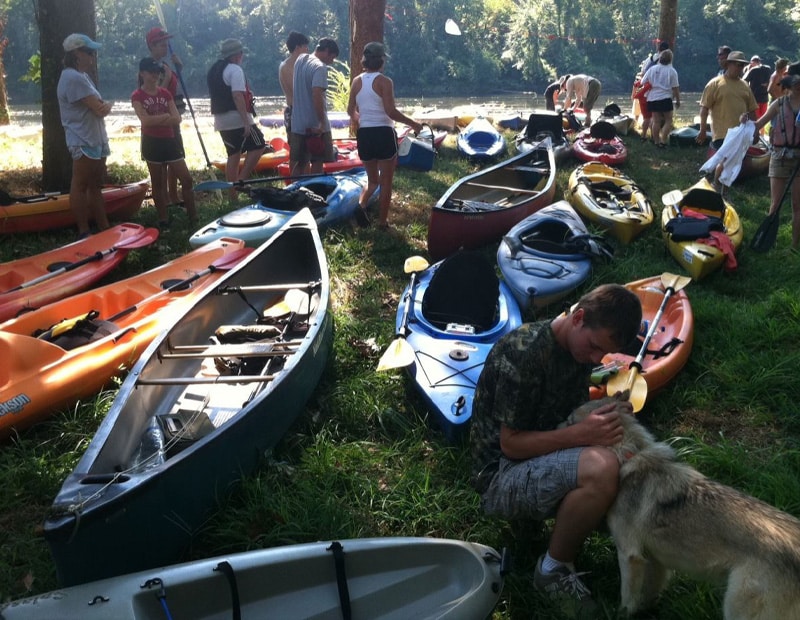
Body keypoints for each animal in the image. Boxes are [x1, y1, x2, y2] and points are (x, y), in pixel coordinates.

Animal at [568, 398, 800, 620]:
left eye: (570, 422)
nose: (560, 426)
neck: (628, 455)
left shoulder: (629, 555)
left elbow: (627, 601)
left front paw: (619, 615)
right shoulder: (654, 561)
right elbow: (649, 595)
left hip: (735, 609)